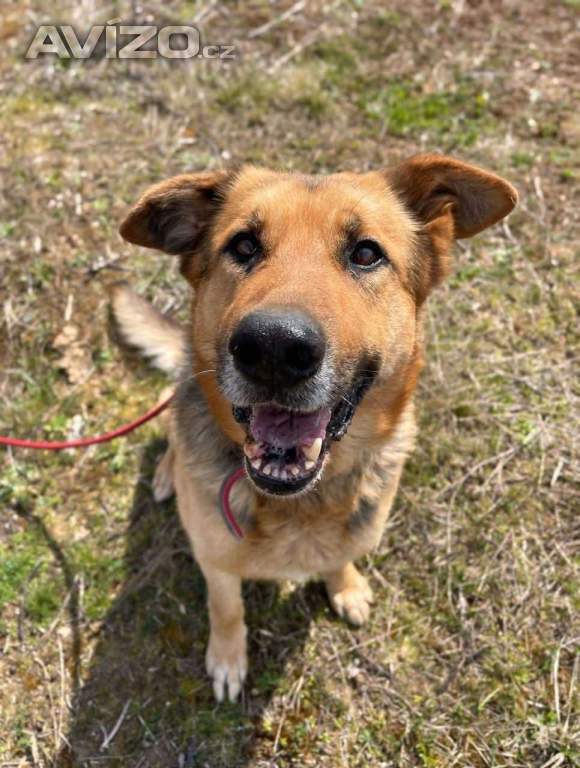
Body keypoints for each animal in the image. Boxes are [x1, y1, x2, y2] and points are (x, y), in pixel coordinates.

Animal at [111, 154, 517, 702]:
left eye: (366, 253)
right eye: (243, 245)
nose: (274, 348)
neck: (297, 501)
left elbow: (339, 557)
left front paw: (344, 586)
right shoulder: (216, 564)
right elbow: (227, 609)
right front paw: (228, 658)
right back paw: (164, 474)